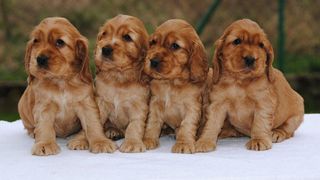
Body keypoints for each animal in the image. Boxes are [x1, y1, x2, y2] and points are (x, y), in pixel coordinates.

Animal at [18, 16, 117, 155]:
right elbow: (44, 126)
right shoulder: (44, 106)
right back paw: (33, 133)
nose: (40, 59)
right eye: (36, 41)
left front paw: (100, 142)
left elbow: (93, 124)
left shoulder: (86, 104)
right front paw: (44, 144)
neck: (61, 82)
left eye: (60, 42)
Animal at [94, 14, 149, 152]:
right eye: (104, 34)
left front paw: (133, 143)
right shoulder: (101, 101)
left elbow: (134, 125)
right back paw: (112, 131)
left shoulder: (139, 105)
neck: (118, 78)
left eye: (127, 37)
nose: (105, 49)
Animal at [143, 19, 210, 153]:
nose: (152, 61)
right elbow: (152, 122)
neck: (171, 83)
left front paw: (183, 143)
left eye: (175, 46)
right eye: (153, 42)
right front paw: (148, 140)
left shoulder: (192, 107)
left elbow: (187, 125)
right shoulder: (155, 103)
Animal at [196, 19, 304, 152]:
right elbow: (212, 123)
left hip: (297, 111)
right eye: (237, 41)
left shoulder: (263, 103)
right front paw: (204, 141)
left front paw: (259, 140)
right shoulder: (217, 104)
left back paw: (277, 132)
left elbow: (260, 122)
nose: (250, 59)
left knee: (289, 130)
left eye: (261, 45)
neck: (240, 81)